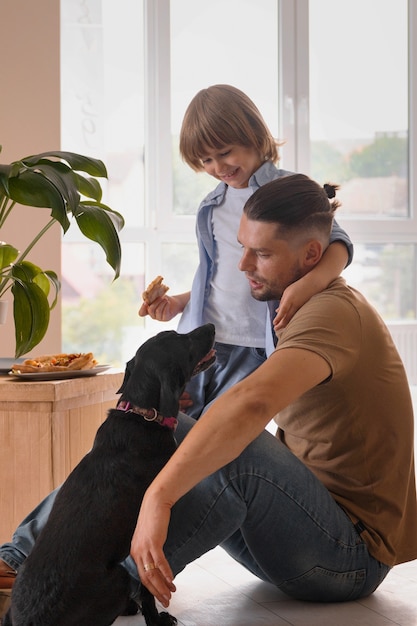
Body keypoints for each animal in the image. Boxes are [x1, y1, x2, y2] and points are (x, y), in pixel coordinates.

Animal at [5, 324, 214, 620]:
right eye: (179, 338)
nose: (211, 326)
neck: (142, 416)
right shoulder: (147, 539)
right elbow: (148, 591)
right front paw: (157, 619)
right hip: (118, 578)